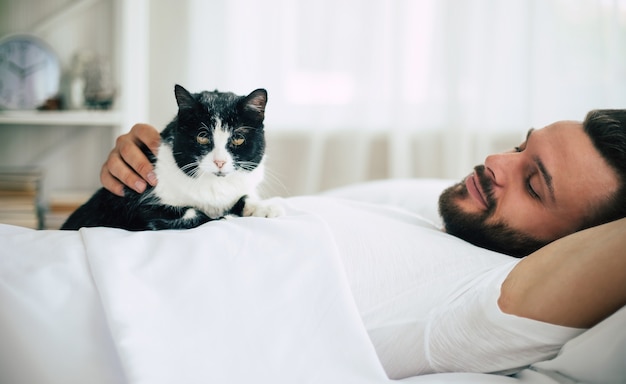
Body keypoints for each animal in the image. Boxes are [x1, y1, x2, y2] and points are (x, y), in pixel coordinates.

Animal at [60, 84, 280, 230]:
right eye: (202, 136)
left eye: (238, 139)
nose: (220, 162)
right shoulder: (135, 207)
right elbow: (190, 212)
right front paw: (224, 218)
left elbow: (245, 195)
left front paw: (265, 207)